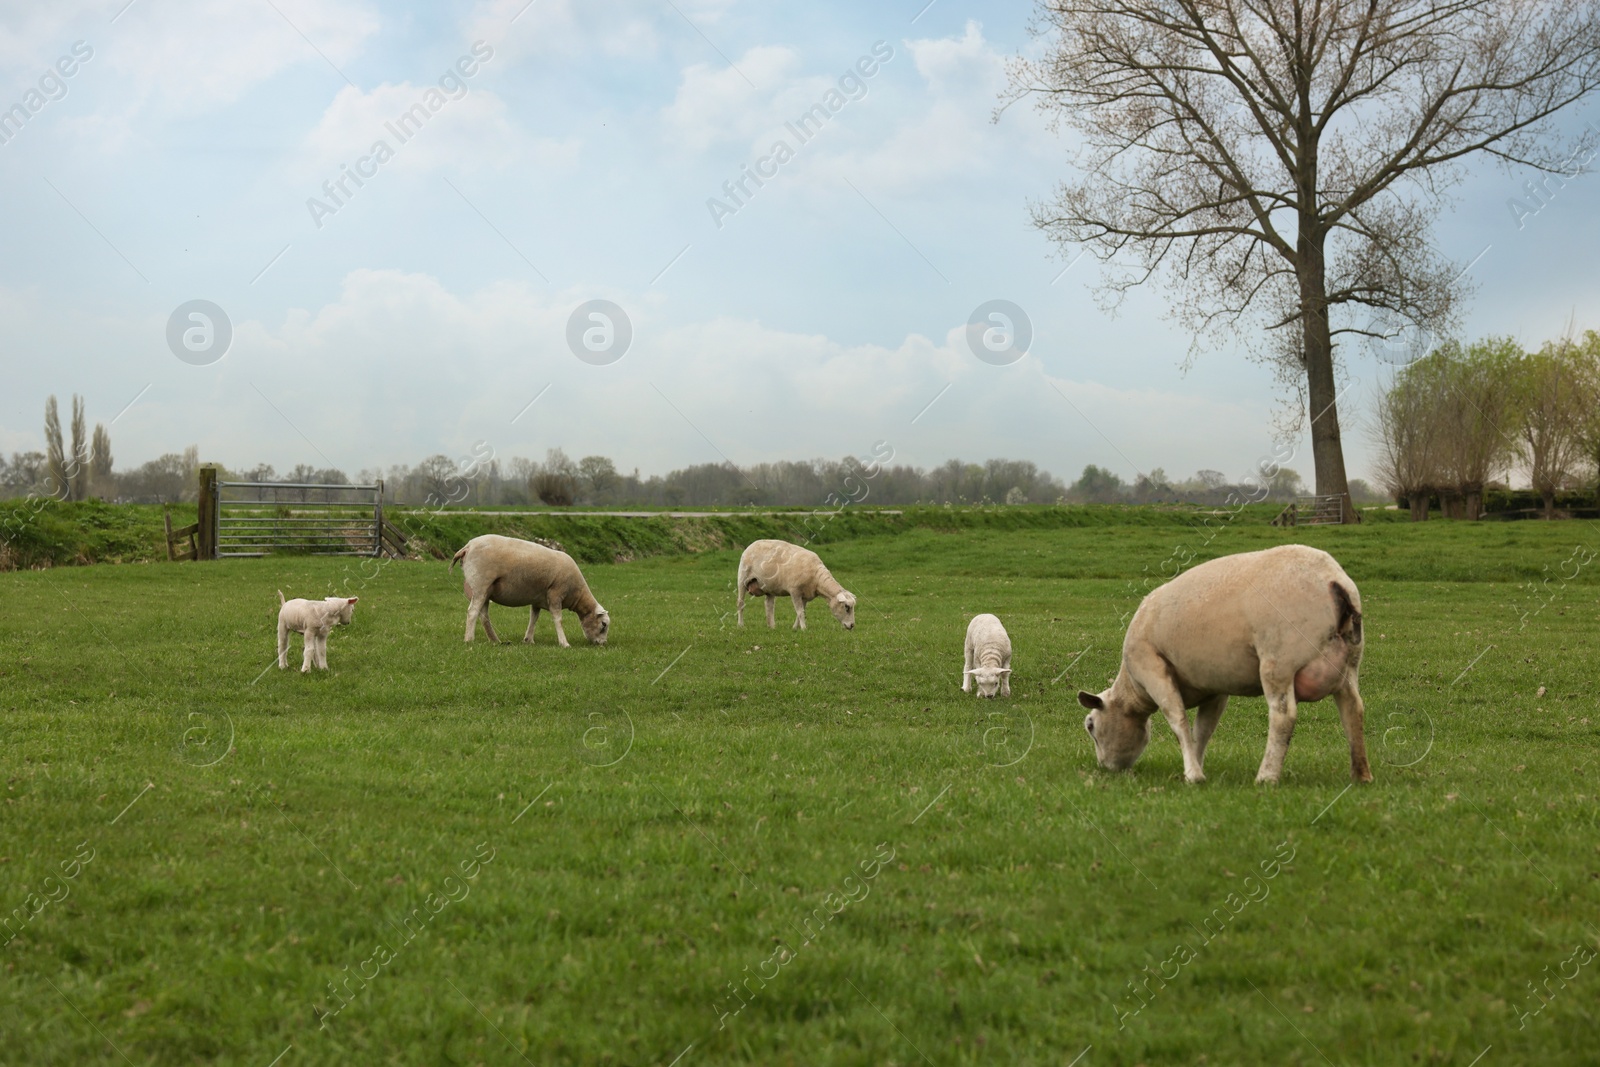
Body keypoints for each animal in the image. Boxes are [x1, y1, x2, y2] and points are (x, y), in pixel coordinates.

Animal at [451, 537, 611, 646]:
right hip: (481, 584)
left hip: (486, 591)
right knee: (472, 612)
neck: (577, 593)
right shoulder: (555, 594)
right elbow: (558, 619)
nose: (603, 644)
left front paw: (528, 639)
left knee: (484, 615)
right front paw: (564, 643)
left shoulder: (537, 600)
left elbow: (534, 618)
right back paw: (469, 640)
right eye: (603, 625)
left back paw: (495, 640)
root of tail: (467, 547)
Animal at [1075, 543, 1363, 783]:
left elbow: (1178, 720)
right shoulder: (1214, 687)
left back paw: (1266, 777)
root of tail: (1333, 580)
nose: (1105, 768)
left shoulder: (1152, 667)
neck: (1133, 690)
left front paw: (1193, 775)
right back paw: (1361, 775)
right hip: (1349, 664)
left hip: (1279, 661)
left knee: (1283, 716)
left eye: (1090, 725)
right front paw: (1198, 766)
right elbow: (1203, 730)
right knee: (1354, 709)